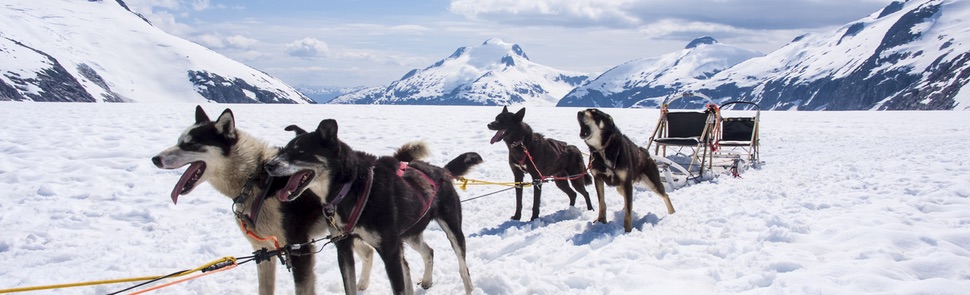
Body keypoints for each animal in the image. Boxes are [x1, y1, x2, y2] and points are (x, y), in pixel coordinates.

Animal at [262, 120, 478, 295]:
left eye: (300, 152)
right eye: (284, 150)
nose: (268, 166)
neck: (349, 189)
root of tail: (441, 171)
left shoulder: (389, 252)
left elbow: (399, 287)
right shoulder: (344, 248)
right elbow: (349, 286)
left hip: (452, 230)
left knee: (463, 268)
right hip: (409, 234)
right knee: (428, 251)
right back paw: (426, 281)